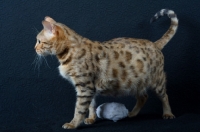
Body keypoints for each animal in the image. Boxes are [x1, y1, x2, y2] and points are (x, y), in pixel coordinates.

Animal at [34, 8, 178, 129]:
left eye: (39, 41)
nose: (34, 48)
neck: (68, 52)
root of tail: (155, 44)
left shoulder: (85, 86)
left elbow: (80, 108)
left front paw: (73, 124)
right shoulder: (89, 87)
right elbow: (91, 105)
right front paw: (91, 118)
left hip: (157, 80)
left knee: (164, 96)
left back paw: (168, 113)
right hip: (136, 82)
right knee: (144, 96)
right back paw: (132, 113)